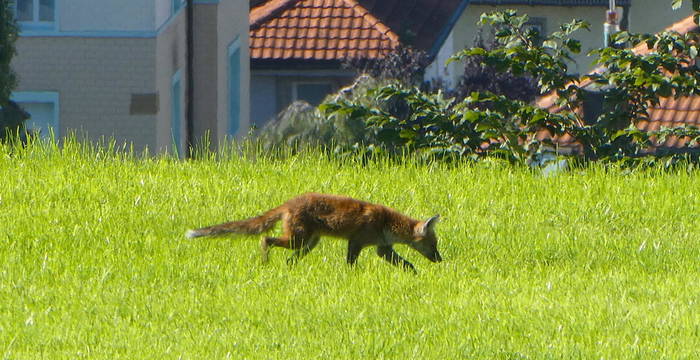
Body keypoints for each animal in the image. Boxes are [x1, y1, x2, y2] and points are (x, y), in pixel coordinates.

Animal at [183, 193, 440, 272]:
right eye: (433, 245)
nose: (440, 259)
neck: (385, 223)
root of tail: (289, 203)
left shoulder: (382, 248)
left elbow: (407, 264)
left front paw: (415, 275)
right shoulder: (356, 242)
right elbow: (350, 263)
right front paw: (352, 276)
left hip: (308, 244)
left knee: (289, 259)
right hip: (297, 240)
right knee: (266, 239)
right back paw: (265, 262)